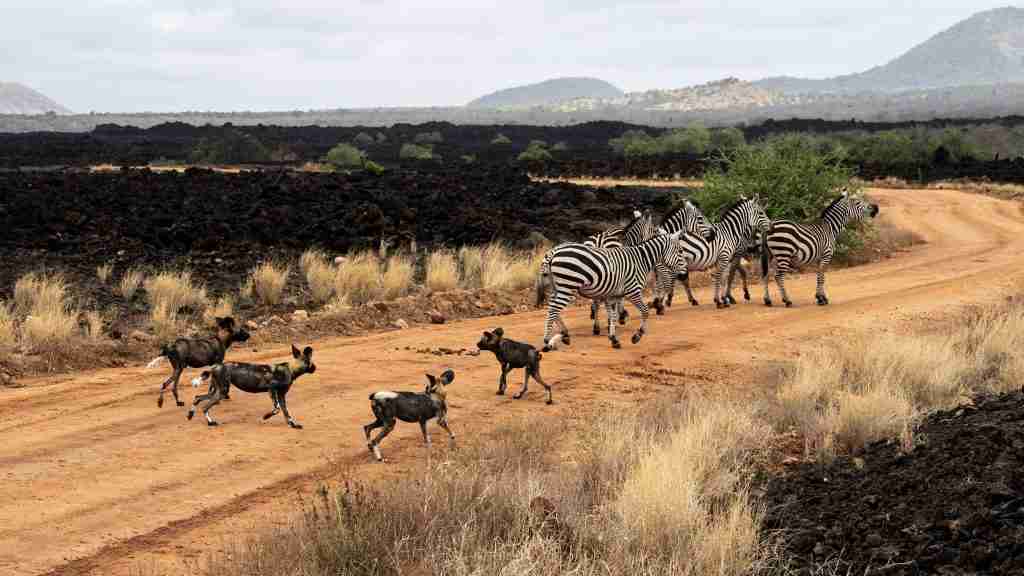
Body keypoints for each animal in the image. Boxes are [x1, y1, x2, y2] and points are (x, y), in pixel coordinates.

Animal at [187, 340, 315, 426]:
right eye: (311, 363)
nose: (315, 368)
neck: (291, 369)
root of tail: (215, 366)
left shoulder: (281, 395)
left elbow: (286, 412)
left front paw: (293, 424)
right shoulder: (272, 389)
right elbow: (277, 408)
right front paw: (266, 417)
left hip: (217, 391)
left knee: (198, 398)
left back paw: (191, 415)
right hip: (222, 392)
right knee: (204, 406)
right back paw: (210, 422)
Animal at [540, 231, 684, 350]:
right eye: (680, 251)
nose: (683, 275)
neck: (640, 260)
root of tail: (554, 252)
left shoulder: (614, 295)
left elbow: (613, 316)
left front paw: (614, 339)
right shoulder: (633, 291)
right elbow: (645, 311)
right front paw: (637, 336)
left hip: (558, 287)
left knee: (552, 306)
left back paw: (564, 335)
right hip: (568, 286)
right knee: (554, 309)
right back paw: (547, 341)